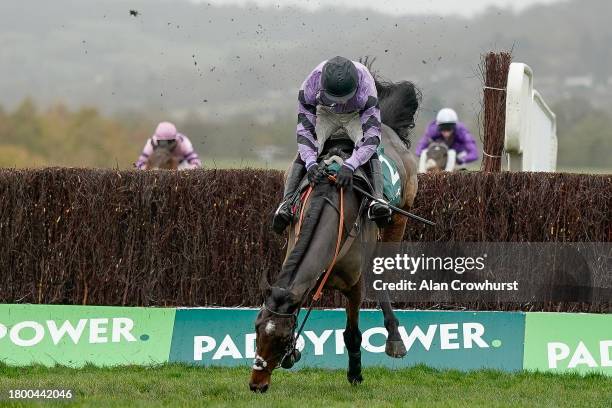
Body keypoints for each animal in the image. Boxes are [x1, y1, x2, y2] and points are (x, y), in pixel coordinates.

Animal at [249, 61, 420, 392]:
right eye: (257, 327)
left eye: (280, 338)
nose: (257, 383)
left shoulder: (354, 285)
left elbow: (352, 334)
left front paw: (355, 374)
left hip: (400, 217)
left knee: (384, 272)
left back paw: (394, 339)